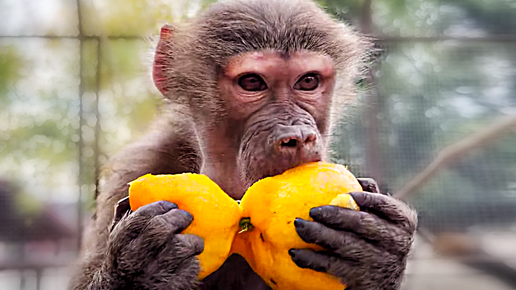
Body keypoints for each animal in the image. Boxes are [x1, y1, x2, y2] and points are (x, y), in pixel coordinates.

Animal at [68, 0, 418, 290]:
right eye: (252, 83)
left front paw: (378, 256)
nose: (297, 136)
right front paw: (139, 266)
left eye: (308, 81)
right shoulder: (137, 169)